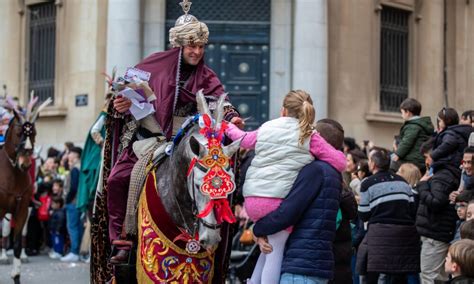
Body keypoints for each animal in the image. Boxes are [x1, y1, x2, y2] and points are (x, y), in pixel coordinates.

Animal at [0, 96, 51, 282]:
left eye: (33, 134)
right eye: (18, 134)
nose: (25, 164)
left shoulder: (23, 208)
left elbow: (18, 239)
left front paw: (17, 272)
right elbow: (5, 230)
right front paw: (3, 257)